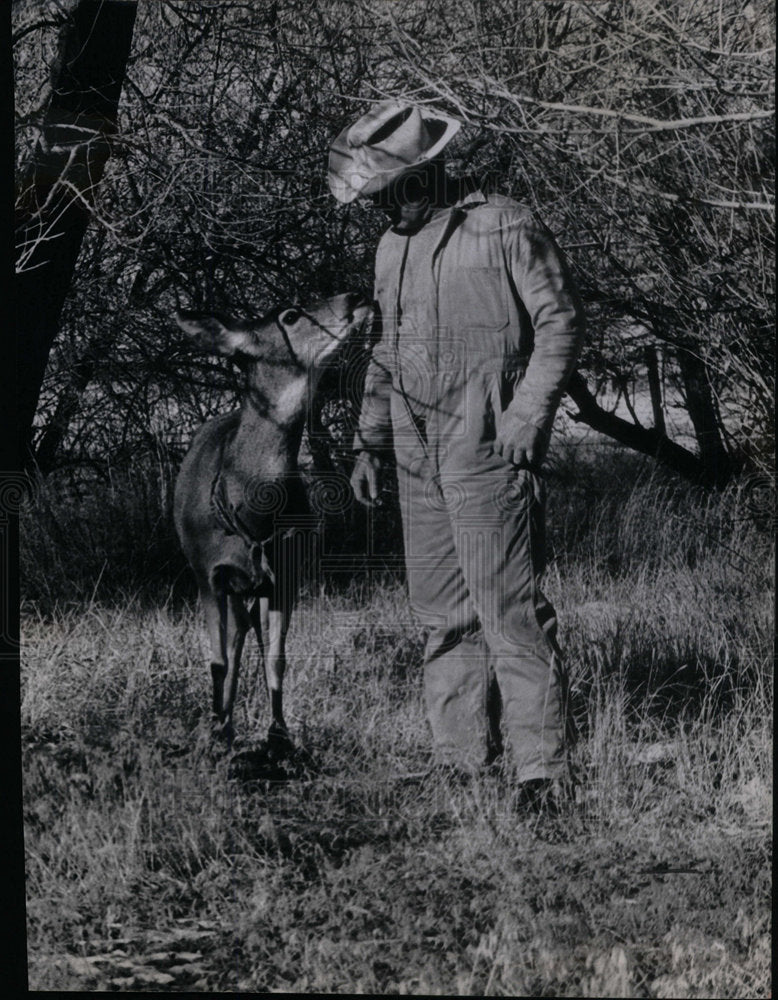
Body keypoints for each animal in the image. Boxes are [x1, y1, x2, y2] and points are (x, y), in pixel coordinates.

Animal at [174, 292, 372, 748]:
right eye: (290, 315)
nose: (355, 296)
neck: (248, 507)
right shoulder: (207, 575)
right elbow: (216, 659)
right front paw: (216, 729)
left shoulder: (284, 574)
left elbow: (277, 655)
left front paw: (278, 734)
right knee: (233, 639)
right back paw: (223, 722)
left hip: (257, 584)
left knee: (247, 633)